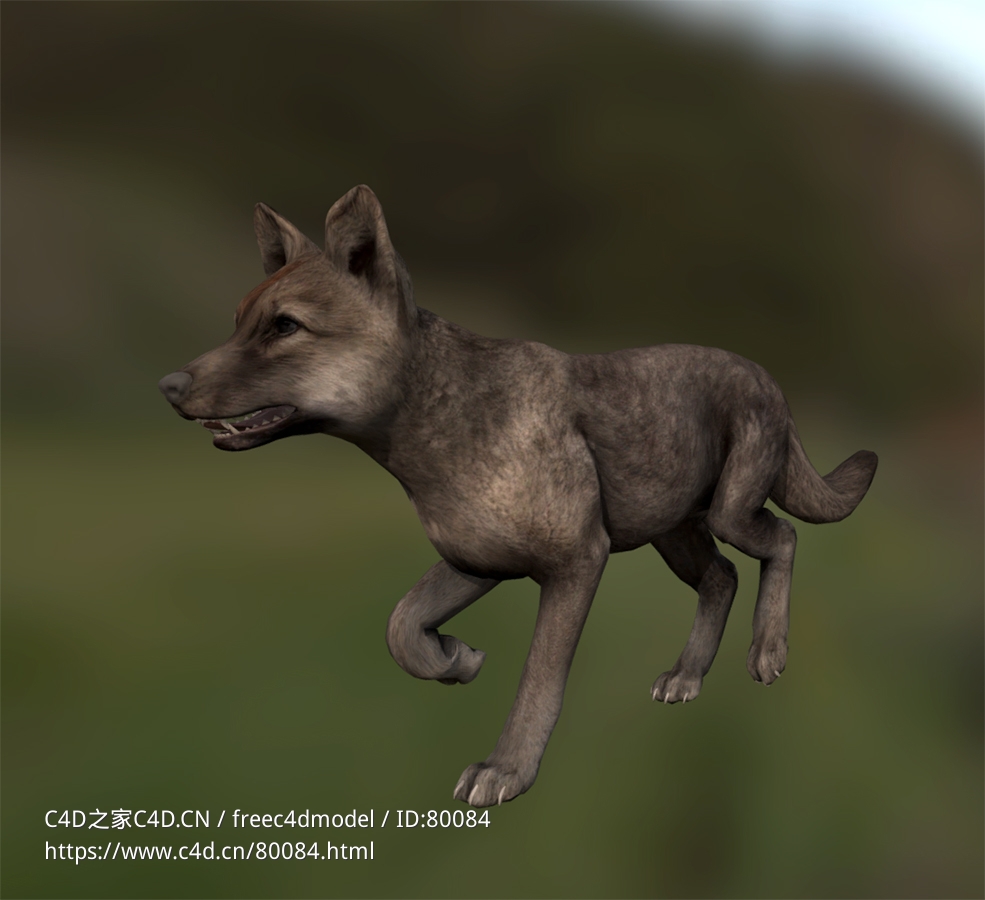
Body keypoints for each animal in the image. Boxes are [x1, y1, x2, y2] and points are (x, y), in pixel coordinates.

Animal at [159, 185, 877, 807]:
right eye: (237, 324)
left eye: (284, 327)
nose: (168, 386)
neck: (437, 423)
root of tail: (766, 374)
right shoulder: (477, 563)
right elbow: (400, 627)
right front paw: (455, 660)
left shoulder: (575, 564)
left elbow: (538, 682)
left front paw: (506, 771)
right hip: (673, 532)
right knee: (723, 577)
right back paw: (687, 676)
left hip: (727, 513)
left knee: (782, 537)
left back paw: (768, 652)